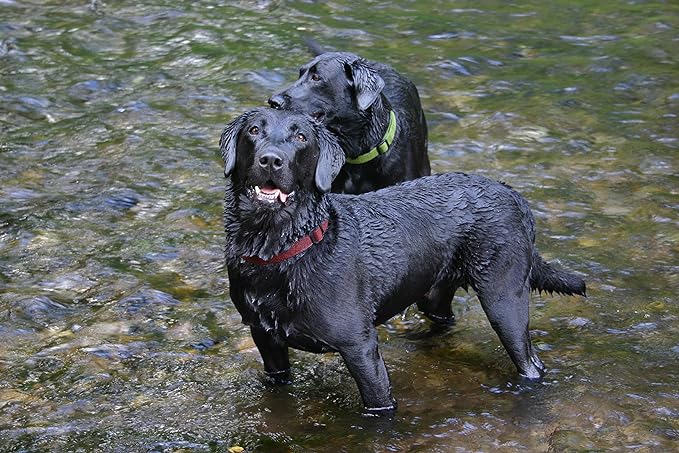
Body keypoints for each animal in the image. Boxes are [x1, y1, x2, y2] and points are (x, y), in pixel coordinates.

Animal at [220, 108, 588, 414]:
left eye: (301, 138)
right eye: (254, 130)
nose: (271, 160)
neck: (280, 250)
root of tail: (512, 193)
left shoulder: (360, 347)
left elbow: (380, 406)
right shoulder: (266, 340)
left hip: (504, 301)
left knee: (531, 363)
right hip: (435, 293)